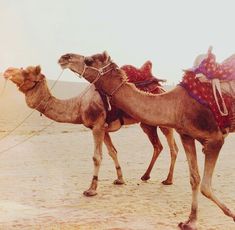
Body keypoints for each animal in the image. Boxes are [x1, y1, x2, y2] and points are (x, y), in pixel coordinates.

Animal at [3, 64, 178, 196]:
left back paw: (168, 180)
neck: (79, 104)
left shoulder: (97, 126)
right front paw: (120, 180)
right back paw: (145, 176)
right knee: (158, 146)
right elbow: (112, 152)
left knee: (173, 148)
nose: (7, 71)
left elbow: (97, 157)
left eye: (26, 72)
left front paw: (91, 189)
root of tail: (162, 89)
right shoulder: (104, 128)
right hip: (147, 124)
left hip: (163, 122)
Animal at [57, 52, 234, 230]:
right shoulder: (186, 135)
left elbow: (206, 186)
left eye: (89, 60)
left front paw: (231, 214)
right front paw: (190, 221)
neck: (177, 104)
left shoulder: (215, 140)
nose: (63, 57)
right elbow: (194, 179)